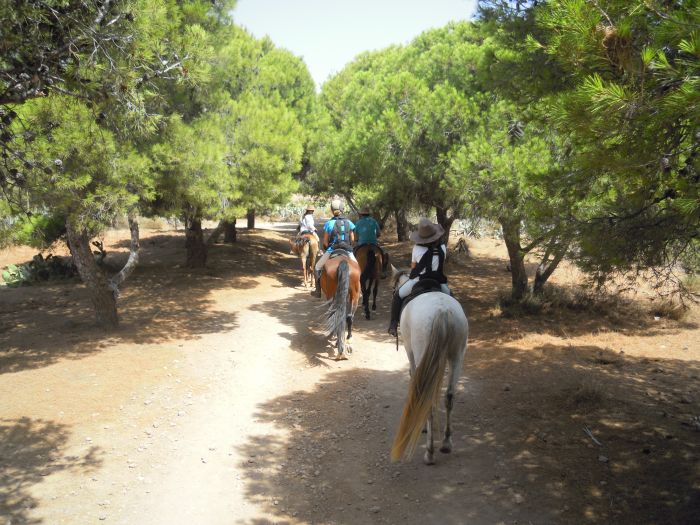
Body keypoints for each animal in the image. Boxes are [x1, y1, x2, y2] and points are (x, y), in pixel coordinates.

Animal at [392, 268, 468, 464]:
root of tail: (443, 310)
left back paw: (430, 452)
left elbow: (413, 378)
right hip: (457, 356)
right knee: (449, 396)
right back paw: (446, 443)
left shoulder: (410, 352)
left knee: (426, 396)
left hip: (422, 354)